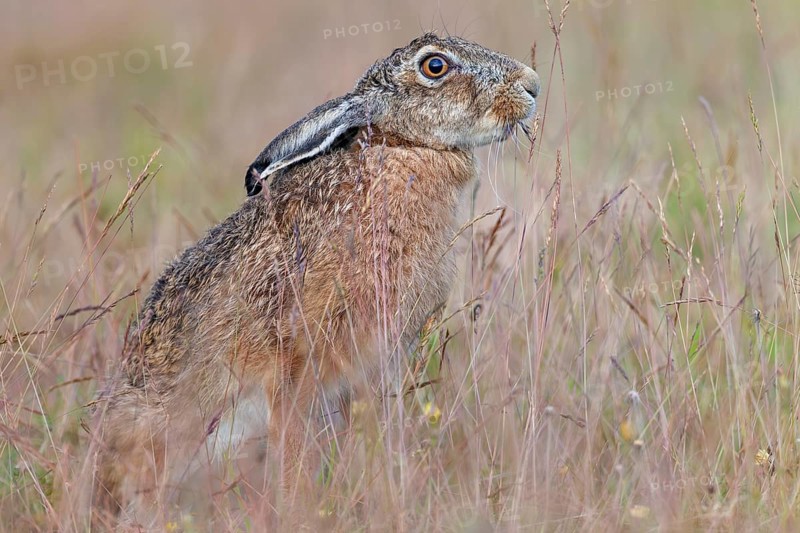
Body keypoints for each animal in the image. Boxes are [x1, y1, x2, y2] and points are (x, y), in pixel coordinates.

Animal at [91, 32, 540, 526]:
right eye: (435, 66)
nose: (531, 85)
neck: (402, 147)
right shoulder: (296, 358)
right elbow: (291, 442)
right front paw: (295, 507)